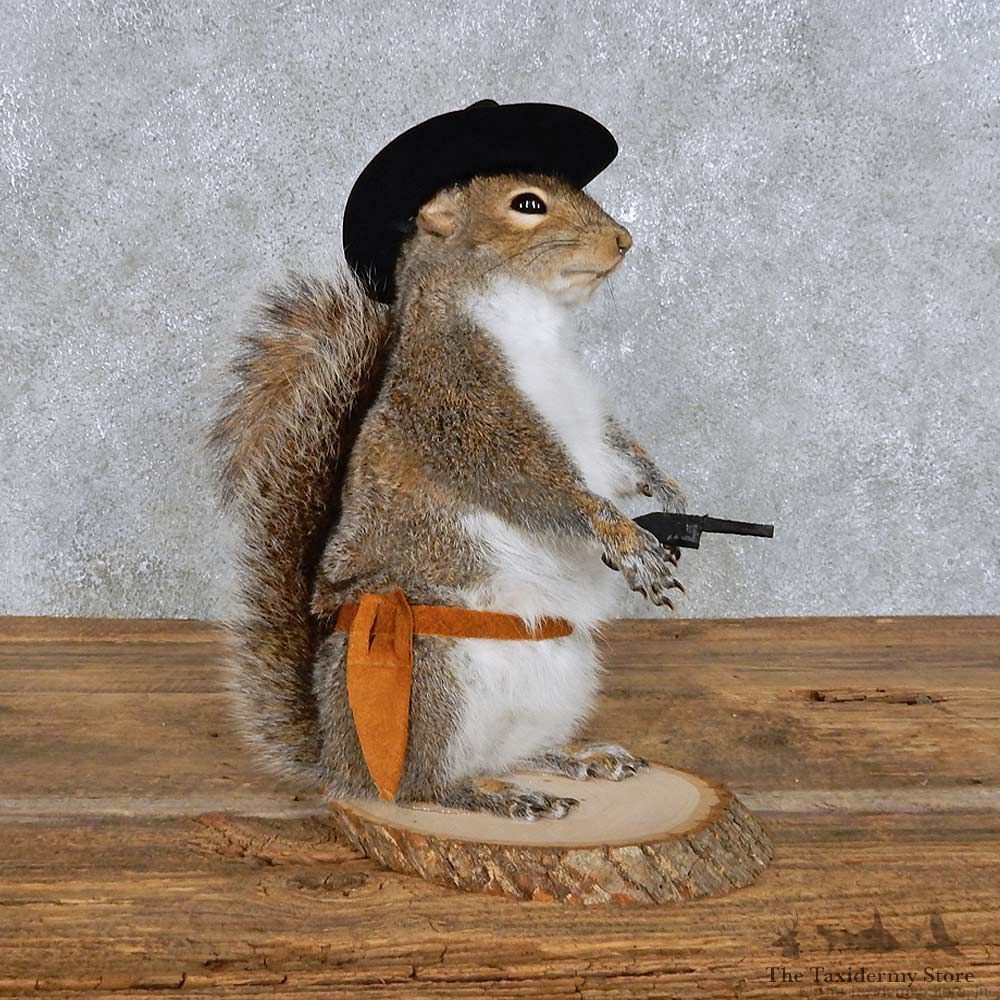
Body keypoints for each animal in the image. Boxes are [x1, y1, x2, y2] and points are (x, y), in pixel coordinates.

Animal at [210, 170, 687, 821]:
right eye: (528, 203)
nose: (623, 240)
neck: (531, 327)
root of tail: (340, 760)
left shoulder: (591, 427)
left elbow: (619, 459)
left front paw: (666, 488)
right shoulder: (462, 416)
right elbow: (543, 489)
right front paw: (627, 540)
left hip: (562, 680)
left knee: (515, 753)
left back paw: (578, 759)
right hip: (428, 681)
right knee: (423, 787)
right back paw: (498, 799)